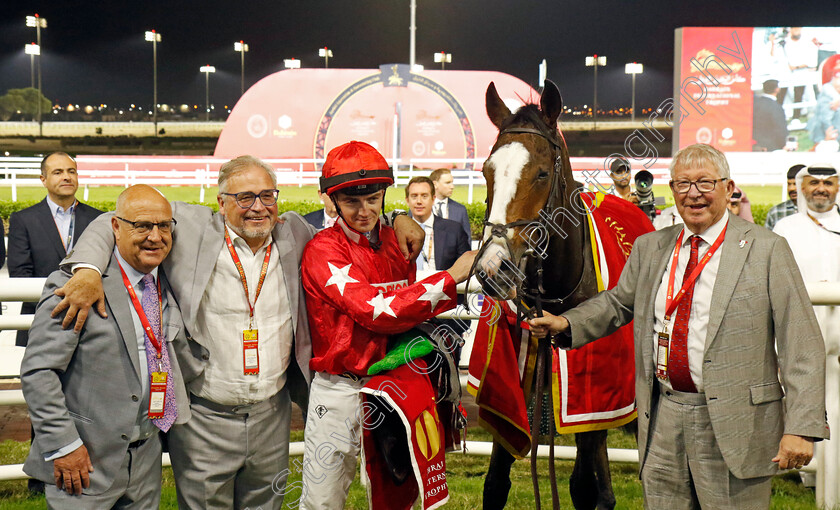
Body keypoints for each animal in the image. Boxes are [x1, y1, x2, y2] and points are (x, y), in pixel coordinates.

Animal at [476, 79, 620, 510]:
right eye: (487, 171)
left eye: (541, 173)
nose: (493, 268)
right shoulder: (512, 393)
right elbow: (495, 483)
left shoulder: (589, 397)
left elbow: (582, 486)